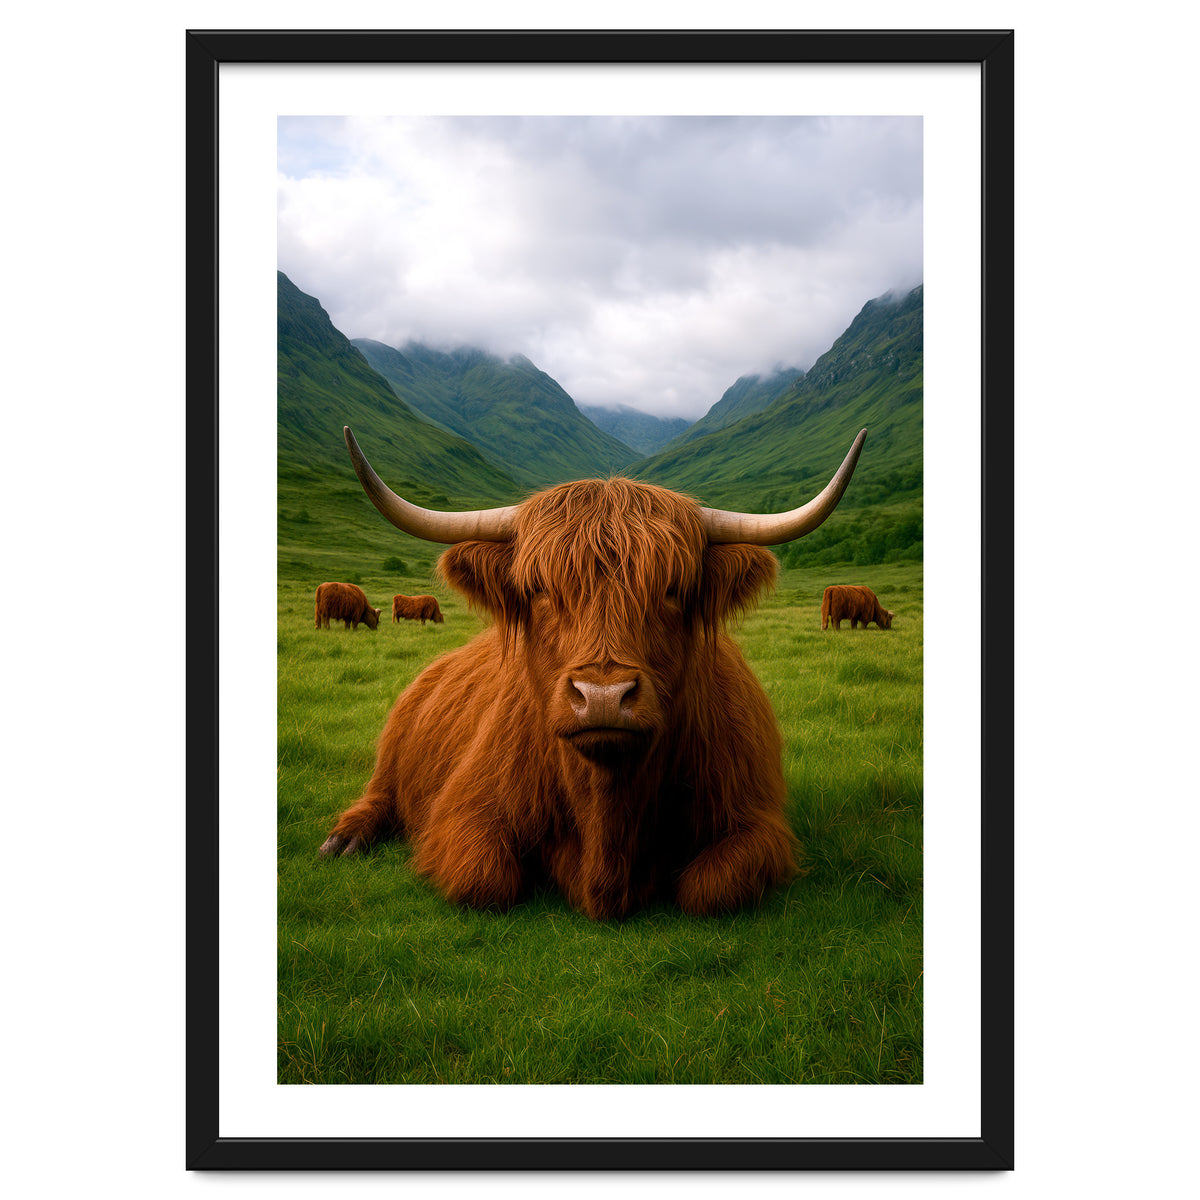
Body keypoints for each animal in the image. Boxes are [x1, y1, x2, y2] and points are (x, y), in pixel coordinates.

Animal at [319, 425, 867, 919]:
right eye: (539, 589)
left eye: (673, 590)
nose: (603, 696)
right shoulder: (463, 810)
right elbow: (485, 879)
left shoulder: (756, 821)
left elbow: (709, 889)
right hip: (393, 751)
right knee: (379, 794)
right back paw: (344, 840)